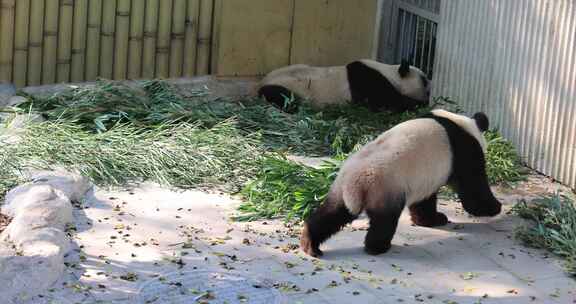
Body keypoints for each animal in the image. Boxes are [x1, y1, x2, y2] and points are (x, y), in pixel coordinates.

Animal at [256, 58, 428, 113]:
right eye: (425, 81)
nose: (428, 96)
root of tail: (260, 85)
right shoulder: (368, 81)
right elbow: (385, 102)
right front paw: (416, 104)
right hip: (285, 88)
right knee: (285, 99)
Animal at [300, 109, 502, 256]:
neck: (461, 123)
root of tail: (355, 181)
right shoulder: (463, 151)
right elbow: (472, 189)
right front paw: (495, 207)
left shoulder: (424, 177)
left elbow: (424, 200)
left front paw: (431, 219)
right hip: (385, 186)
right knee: (384, 220)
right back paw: (377, 247)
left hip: (340, 189)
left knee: (333, 214)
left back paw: (310, 243)